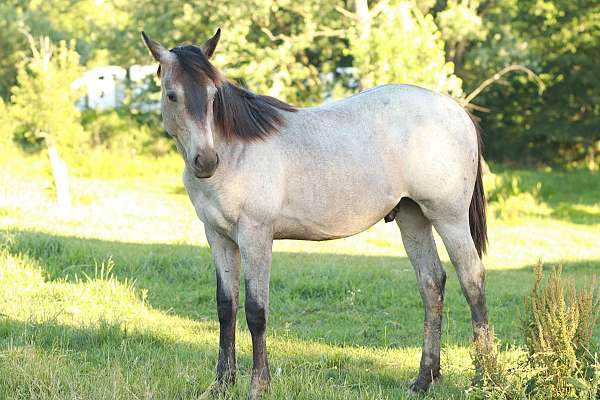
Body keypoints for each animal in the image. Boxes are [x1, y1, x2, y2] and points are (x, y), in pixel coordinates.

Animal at [143, 28, 490, 400]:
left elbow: (255, 311)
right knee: (431, 283)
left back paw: (484, 377)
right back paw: (424, 379)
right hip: (413, 218)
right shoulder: (218, 237)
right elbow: (226, 307)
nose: (206, 161)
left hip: (449, 219)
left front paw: (259, 385)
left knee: (472, 281)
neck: (236, 152)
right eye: (172, 95)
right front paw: (222, 383)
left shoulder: (255, 237)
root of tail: (457, 111)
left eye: (213, 95)